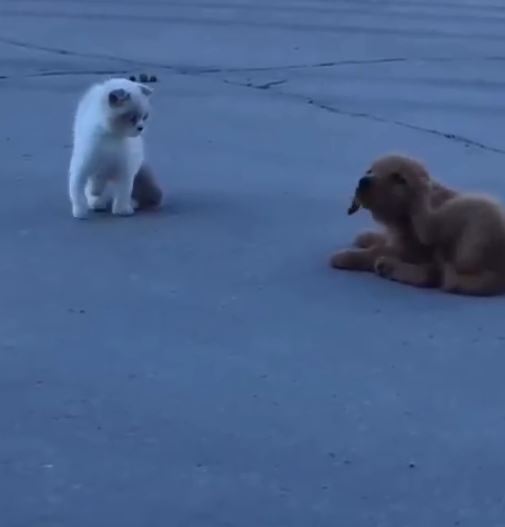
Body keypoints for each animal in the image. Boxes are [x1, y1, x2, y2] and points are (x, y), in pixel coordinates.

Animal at [68, 77, 162, 219]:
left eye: (144, 117)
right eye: (132, 118)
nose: (141, 127)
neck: (112, 138)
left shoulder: (125, 169)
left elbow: (123, 192)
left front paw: (122, 210)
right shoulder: (83, 166)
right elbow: (78, 191)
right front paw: (80, 212)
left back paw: (131, 204)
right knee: (95, 186)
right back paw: (96, 201)